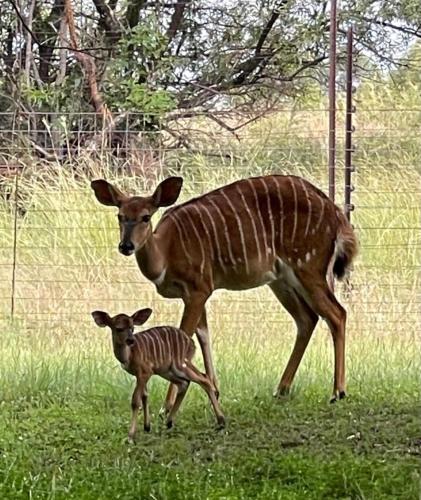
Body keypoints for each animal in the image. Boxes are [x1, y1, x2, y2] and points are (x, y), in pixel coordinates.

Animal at [90, 306, 225, 440]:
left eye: (132, 328)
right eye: (119, 328)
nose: (131, 340)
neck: (129, 356)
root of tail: (192, 344)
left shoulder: (145, 372)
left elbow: (136, 400)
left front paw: (131, 436)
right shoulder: (140, 375)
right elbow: (145, 395)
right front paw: (147, 427)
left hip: (180, 364)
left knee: (203, 379)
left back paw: (221, 421)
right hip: (167, 370)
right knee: (185, 383)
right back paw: (169, 422)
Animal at [92, 174, 358, 408]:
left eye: (146, 217)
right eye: (120, 215)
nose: (126, 245)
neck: (166, 253)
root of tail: (337, 215)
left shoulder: (198, 288)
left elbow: (185, 335)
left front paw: (166, 407)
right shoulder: (195, 294)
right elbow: (203, 335)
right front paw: (215, 390)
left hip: (308, 267)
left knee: (337, 314)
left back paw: (338, 392)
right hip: (281, 279)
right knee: (307, 318)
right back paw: (281, 389)